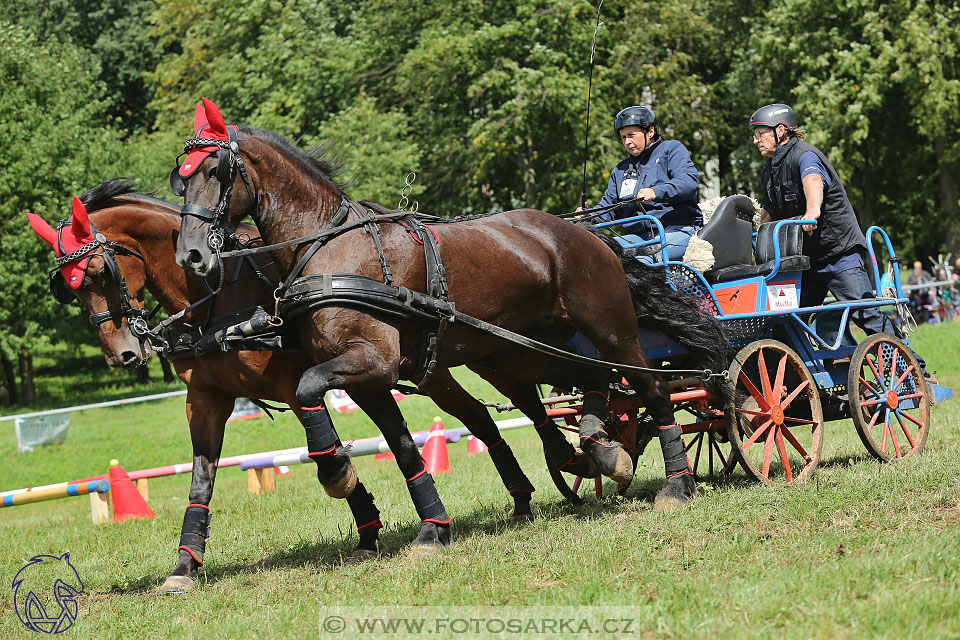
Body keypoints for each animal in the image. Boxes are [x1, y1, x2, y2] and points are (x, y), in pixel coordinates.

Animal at [171, 96, 728, 552]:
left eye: (217, 170)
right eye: (182, 176)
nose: (191, 255)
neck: (329, 247)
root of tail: (586, 230)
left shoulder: (372, 360)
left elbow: (309, 388)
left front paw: (337, 471)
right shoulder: (368, 377)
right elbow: (399, 445)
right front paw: (430, 528)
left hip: (611, 330)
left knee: (650, 387)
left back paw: (678, 482)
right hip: (529, 347)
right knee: (593, 382)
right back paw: (598, 456)